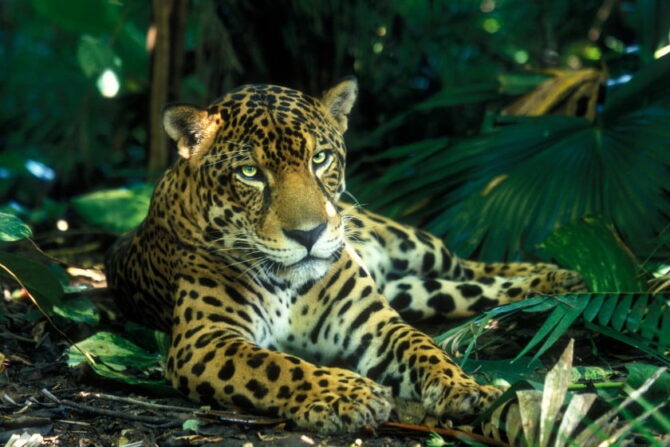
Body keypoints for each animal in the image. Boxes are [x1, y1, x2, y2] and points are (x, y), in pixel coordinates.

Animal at [105, 77, 585, 433]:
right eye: (250, 173)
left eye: (320, 159)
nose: (310, 234)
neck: (290, 283)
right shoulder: (204, 340)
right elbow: (276, 365)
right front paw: (348, 395)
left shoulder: (374, 323)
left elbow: (422, 345)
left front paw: (462, 386)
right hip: (420, 291)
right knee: (470, 287)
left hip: (418, 247)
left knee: (471, 266)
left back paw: (560, 278)